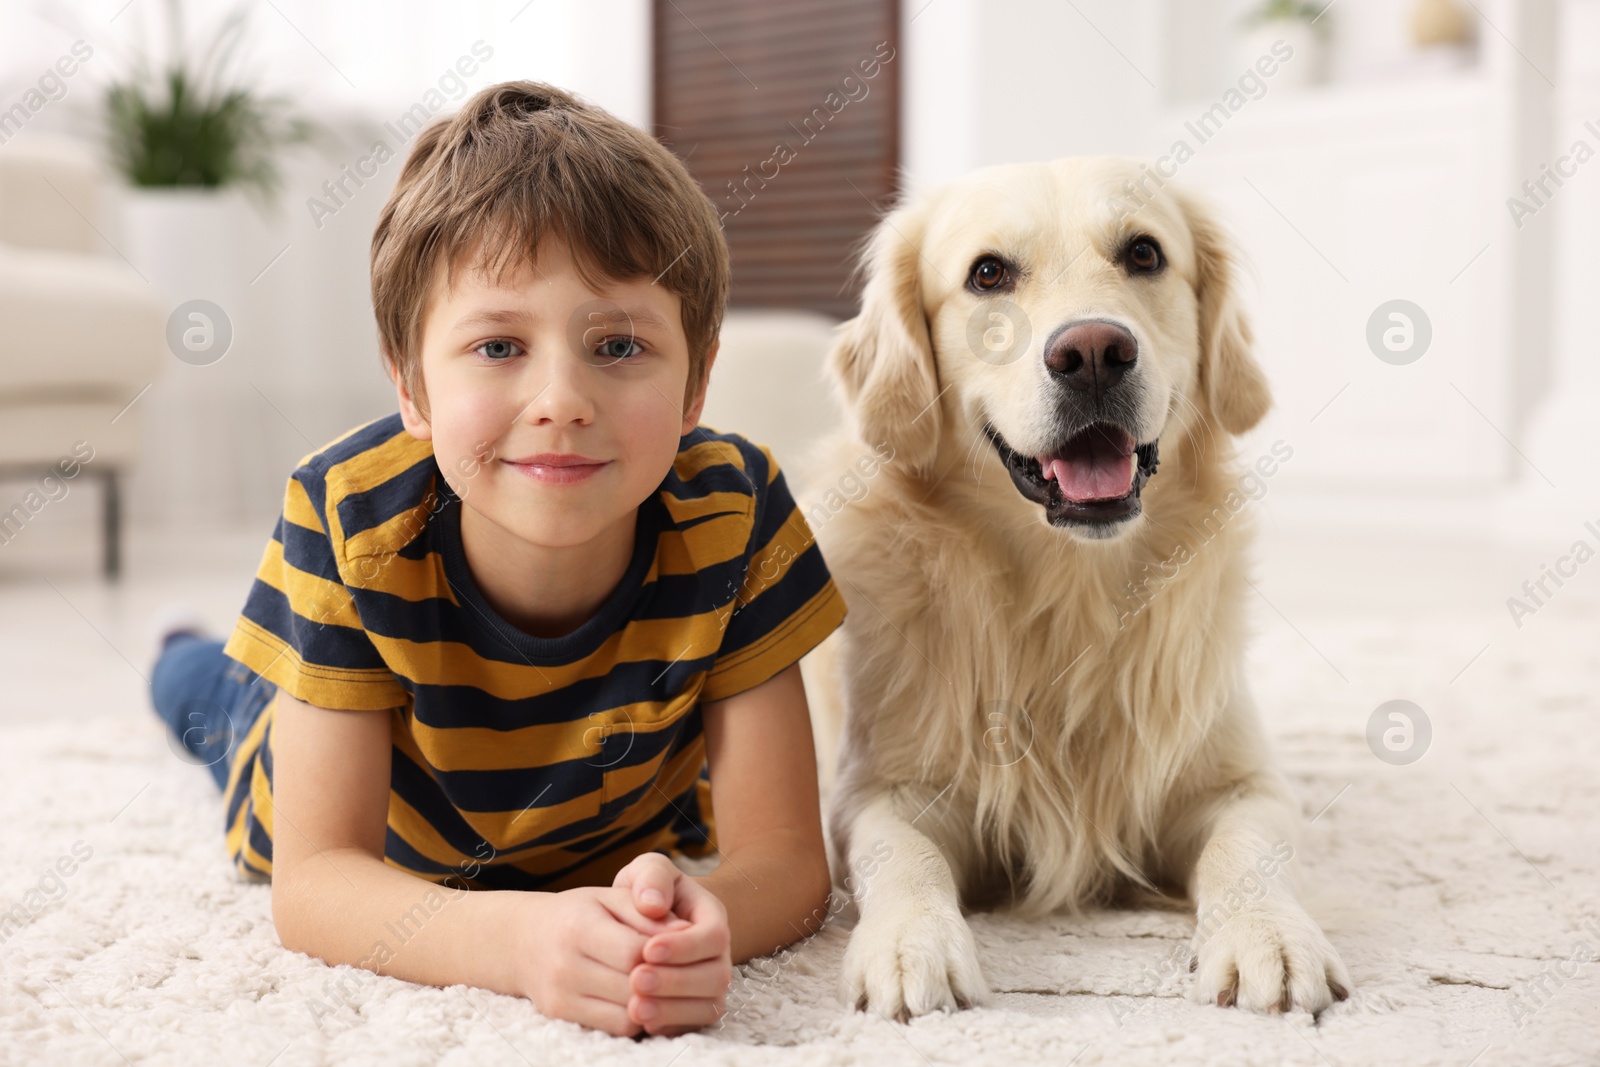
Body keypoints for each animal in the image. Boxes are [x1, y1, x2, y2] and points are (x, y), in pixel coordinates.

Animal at [800, 156, 1350, 1017]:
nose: (1093, 352)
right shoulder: (878, 791)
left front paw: (1269, 935)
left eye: (1144, 254)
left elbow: (1247, 848)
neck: (1071, 593)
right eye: (987, 273)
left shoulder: (1242, 782)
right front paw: (909, 944)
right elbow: (904, 858)